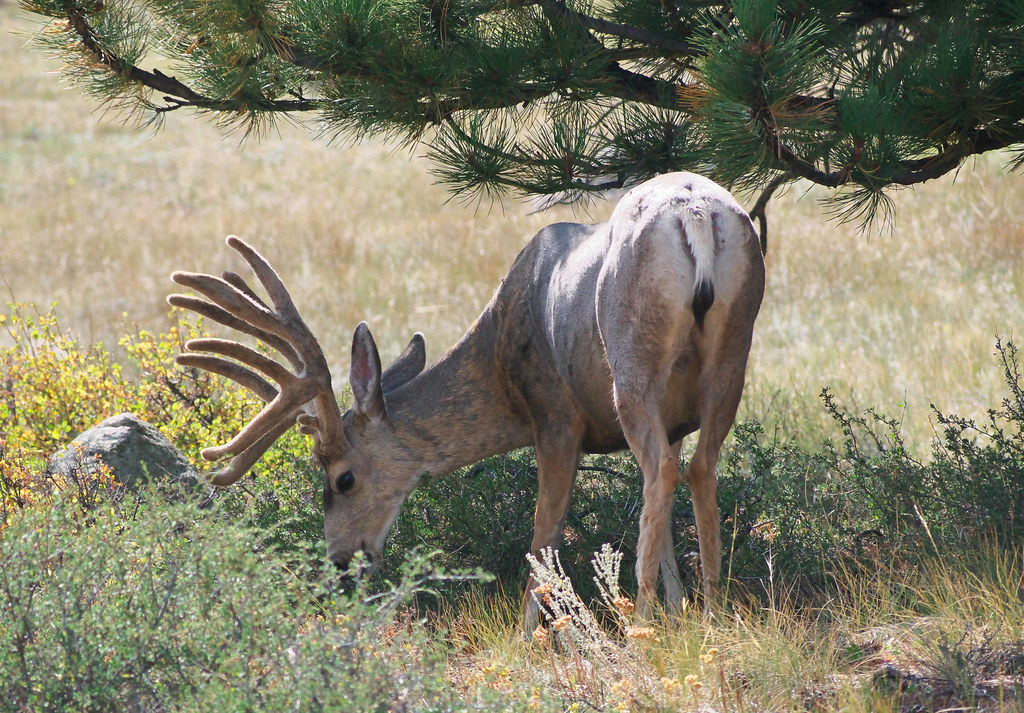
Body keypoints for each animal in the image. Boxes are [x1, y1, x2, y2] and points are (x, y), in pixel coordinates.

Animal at [168, 171, 765, 627]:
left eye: (343, 479)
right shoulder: (670, 418)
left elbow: (542, 536)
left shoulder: (555, 415)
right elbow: (662, 539)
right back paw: (712, 610)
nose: (340, 562)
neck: (502, 371)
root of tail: (695, 215)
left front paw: (531, 637)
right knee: (699, 467)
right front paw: (678, 612)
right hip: (733, 352)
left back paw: (639, 621)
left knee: (662, 469)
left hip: (632, 360)